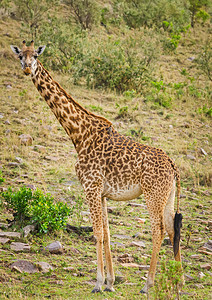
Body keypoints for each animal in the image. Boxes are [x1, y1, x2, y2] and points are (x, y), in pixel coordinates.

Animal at [9, 41, 183, 294]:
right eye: (20, 56)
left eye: (36, 56)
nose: (26, 68)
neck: (79, 134)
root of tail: (173, 165)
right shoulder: (101, 192)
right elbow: (107, 233)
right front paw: (110, 282)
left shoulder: (90, 186)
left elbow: (97, 233)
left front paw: (99, 283)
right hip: (167, 196)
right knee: (172, 229)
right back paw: (177, 283)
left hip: (153, 194)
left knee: (158, 230)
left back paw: (148, 285)